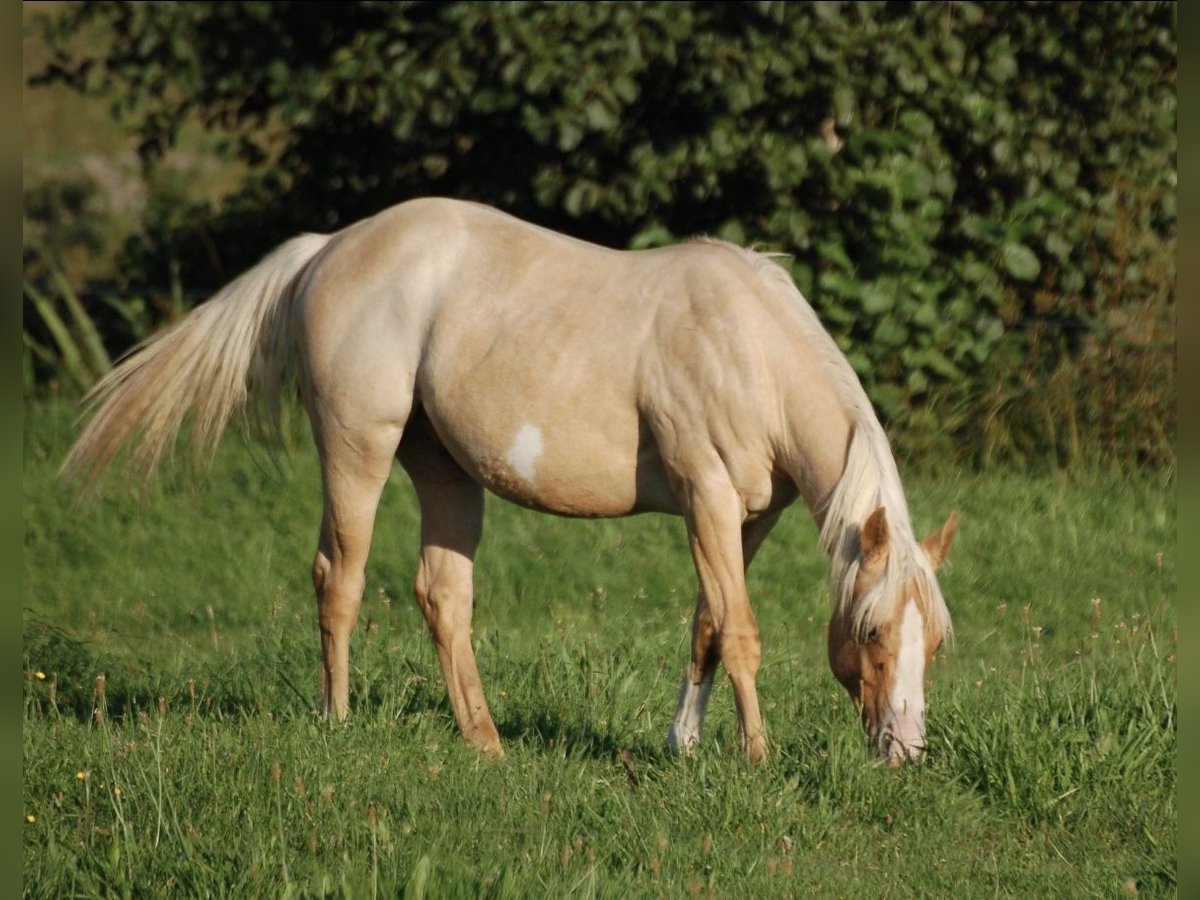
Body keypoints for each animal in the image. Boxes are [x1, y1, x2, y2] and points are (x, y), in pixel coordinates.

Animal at [63, 197, 957, 765]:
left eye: (937, 642)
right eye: (871, 632)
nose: (905, 751)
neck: (747, 345)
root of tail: (327, 248)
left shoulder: (749, 517)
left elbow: (707, 623)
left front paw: (683, 745)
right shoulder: (703, 496)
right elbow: (738, 631)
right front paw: (759, 758)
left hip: (444, 469)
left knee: (441, 594)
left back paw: (485, 742)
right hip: (358, 446)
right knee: (338, 578)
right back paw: (338, 721)